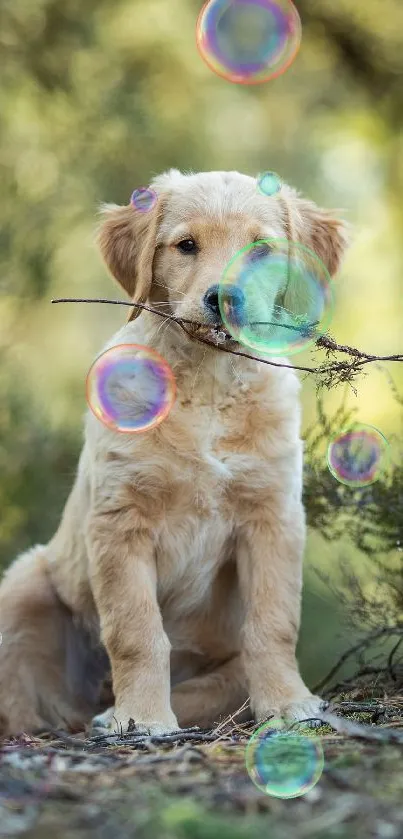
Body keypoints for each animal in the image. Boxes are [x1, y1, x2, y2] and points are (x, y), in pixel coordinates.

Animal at [0, 169, 348, 736]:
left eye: (260, 249)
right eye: (186, 246)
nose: (224, 299)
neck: (207, 383)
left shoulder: (272, 516)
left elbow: (273, 622)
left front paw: (288, 703)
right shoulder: (120, 520)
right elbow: (136, 630)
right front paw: (141, 717)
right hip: (25, 583)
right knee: (26, 699)